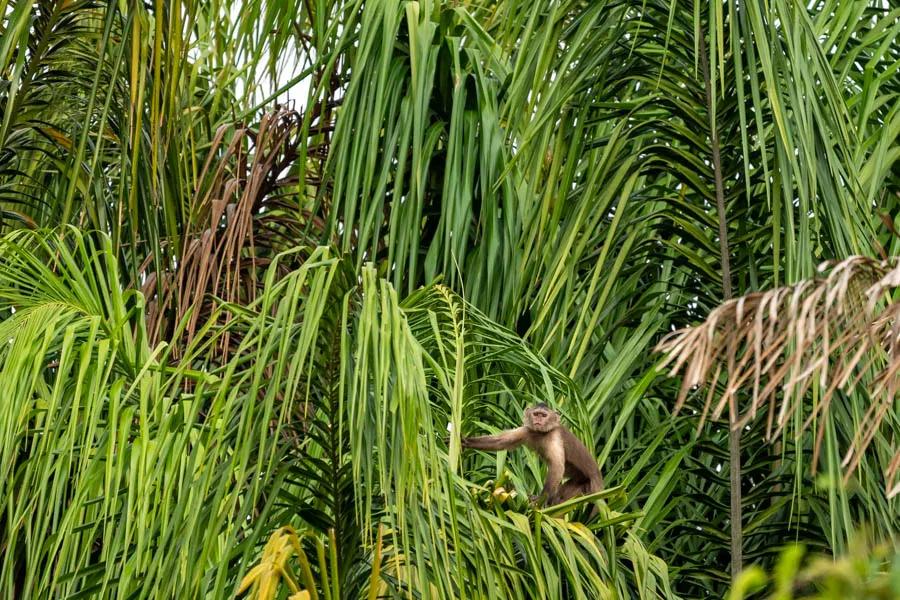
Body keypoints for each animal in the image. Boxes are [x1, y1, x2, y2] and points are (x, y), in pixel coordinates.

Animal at [460, 403, 603, 517]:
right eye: (535, 414)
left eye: (543, 415)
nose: (538, 419)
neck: (541, 433)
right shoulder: (527, 430)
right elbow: (501, 442)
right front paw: (466, 442)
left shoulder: (554, 436)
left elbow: (557, 467)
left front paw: (540, 499)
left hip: (590, 489)